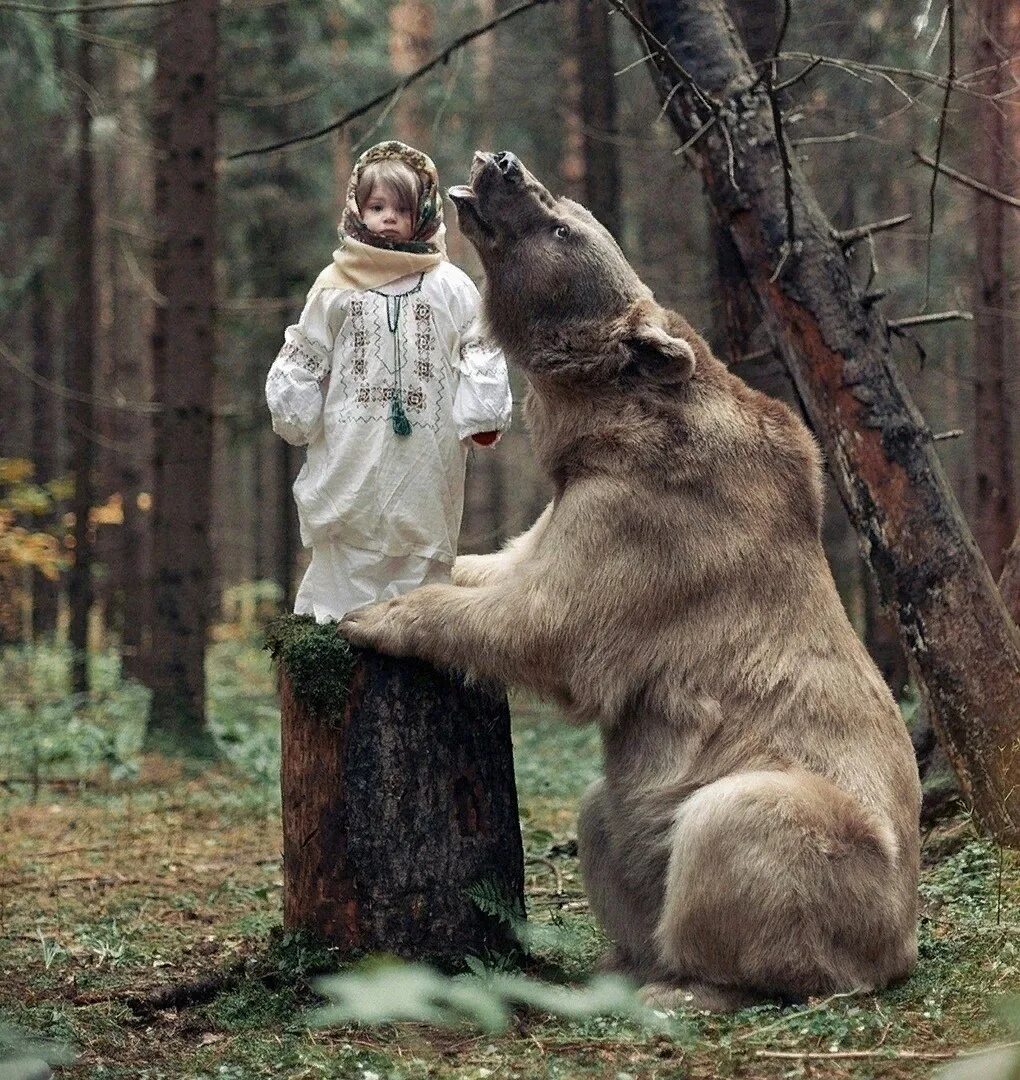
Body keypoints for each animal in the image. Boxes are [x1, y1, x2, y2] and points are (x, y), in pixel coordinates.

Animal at [343, 147, 924, 1006]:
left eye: (562, 225)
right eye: (566, 203)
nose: (504, 163)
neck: (607, 421)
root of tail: (905, 941)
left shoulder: (654, 522)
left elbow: (549, 621)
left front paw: (378, 614)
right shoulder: (579, 495)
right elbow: (512, 562)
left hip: (848, 858)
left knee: (740, 824)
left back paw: (691, 984)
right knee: (603, 815)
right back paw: (622, 962)